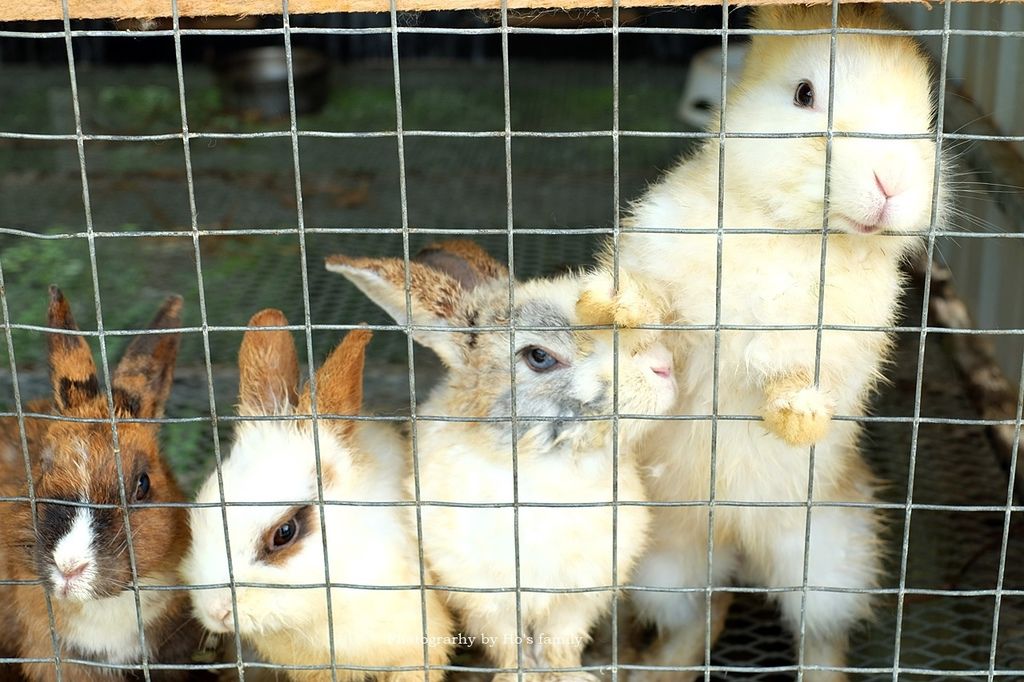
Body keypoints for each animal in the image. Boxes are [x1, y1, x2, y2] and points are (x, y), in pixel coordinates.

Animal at [327, 241, 679, 679]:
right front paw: (517, 675)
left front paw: (569, 674)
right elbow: (510, 644)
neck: (545, 465)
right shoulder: (486, 597)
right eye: (539, 356)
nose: (664, 368)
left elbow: (560, 644)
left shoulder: (578, 597)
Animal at [606, 5, 950, 679]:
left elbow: (797, 379)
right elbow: (654, 323)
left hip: (829, 562)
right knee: (697, 615)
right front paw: (610, 305)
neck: (793, 232)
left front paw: (797, 419)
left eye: (927, 112)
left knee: (818, 635)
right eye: (804, 95)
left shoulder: (832, 346)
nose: (891, 182)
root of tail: (738, 539)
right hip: (668, 563)